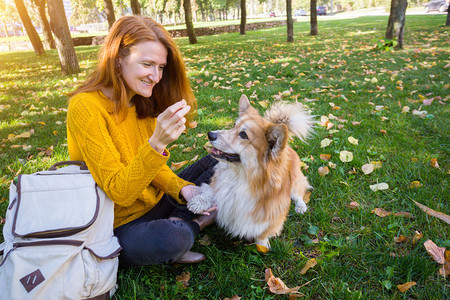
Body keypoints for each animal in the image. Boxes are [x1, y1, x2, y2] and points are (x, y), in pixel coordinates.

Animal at [188, 94, 314, 248]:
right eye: (234, 125)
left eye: (243, 135)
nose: (210, 134)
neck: (241, 176)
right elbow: (212, 191)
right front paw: (198, 202)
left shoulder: (272, 212)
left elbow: (264, 232)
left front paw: (262, 246)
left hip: (295, 181)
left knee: (298, 193)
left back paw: (301, 207)